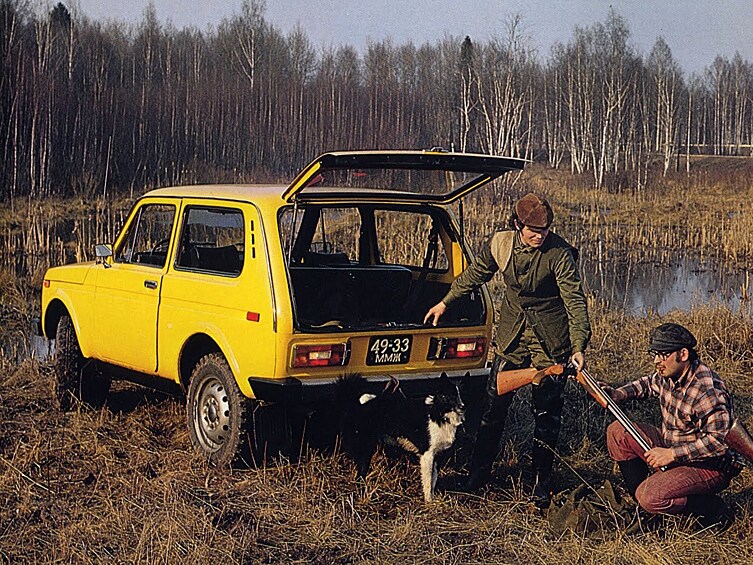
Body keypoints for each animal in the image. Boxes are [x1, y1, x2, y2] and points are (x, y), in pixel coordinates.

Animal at [336, 372, 464, 500]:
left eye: (463, 394)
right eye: (452, 396)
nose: (462, 406)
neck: (439, 412)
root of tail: (357, 406)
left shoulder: (436, 455)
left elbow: (433, 480)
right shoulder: (427, 455)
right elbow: (428, 483)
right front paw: (428, 502)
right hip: (365, 450)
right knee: (359, 476)